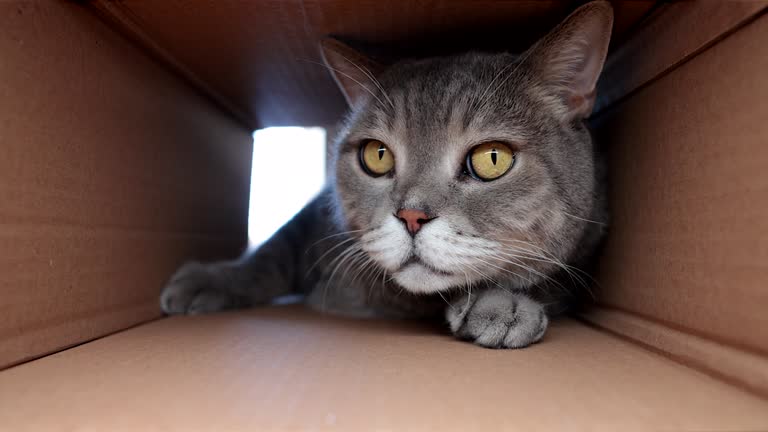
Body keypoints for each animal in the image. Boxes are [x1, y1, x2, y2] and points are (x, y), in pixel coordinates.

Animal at [160, 0, 612, 352]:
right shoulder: (314, 220)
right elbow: (273, 250)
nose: (411, 217)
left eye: (492, 159)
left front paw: (502, 303)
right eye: (376, 156)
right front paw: (212, 279)